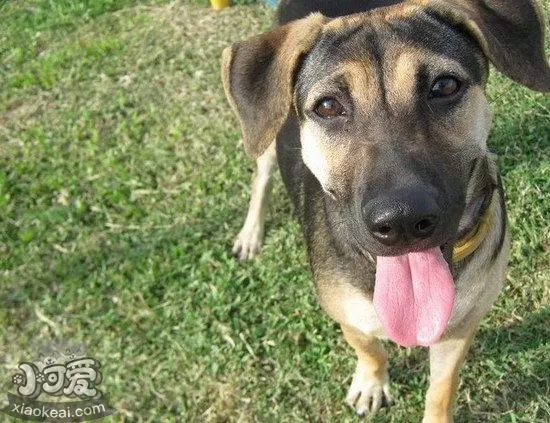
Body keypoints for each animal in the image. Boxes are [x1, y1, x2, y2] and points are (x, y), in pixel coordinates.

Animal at [222, 0, 548, 420]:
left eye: (444, 86)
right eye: (328, 106)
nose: (403, 220)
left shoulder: (461, 327)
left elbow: (442, 388)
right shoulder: (348, 315)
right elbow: (369, 348)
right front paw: (371, 383)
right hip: (265, 133)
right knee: (261, 177)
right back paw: (250, 234)